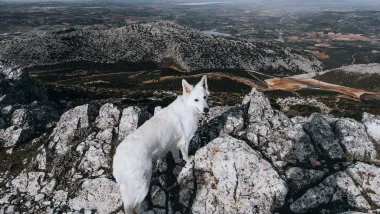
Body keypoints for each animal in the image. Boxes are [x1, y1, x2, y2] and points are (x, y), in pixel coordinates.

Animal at [113, 76, 209, 213]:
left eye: (205, 97)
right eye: (196, 100)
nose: (207, 109)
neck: (187, 107)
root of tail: (118, 159)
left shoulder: (175, 143)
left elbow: (176, 155)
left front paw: (178, 161)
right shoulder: (185, 141)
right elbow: (185, 155)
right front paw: (189, 159)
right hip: (143, 185)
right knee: (135, 205)